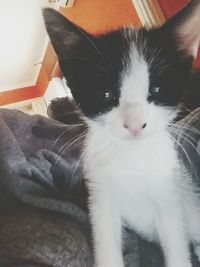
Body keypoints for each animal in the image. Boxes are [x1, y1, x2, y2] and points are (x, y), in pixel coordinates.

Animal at [43, 1, 200, 266]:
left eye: (156, 89)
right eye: (106, 94)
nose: (135, 124)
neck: (131, 156)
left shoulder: (169, 196)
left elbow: (176, 246)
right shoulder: (101, 199)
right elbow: (106, 244)